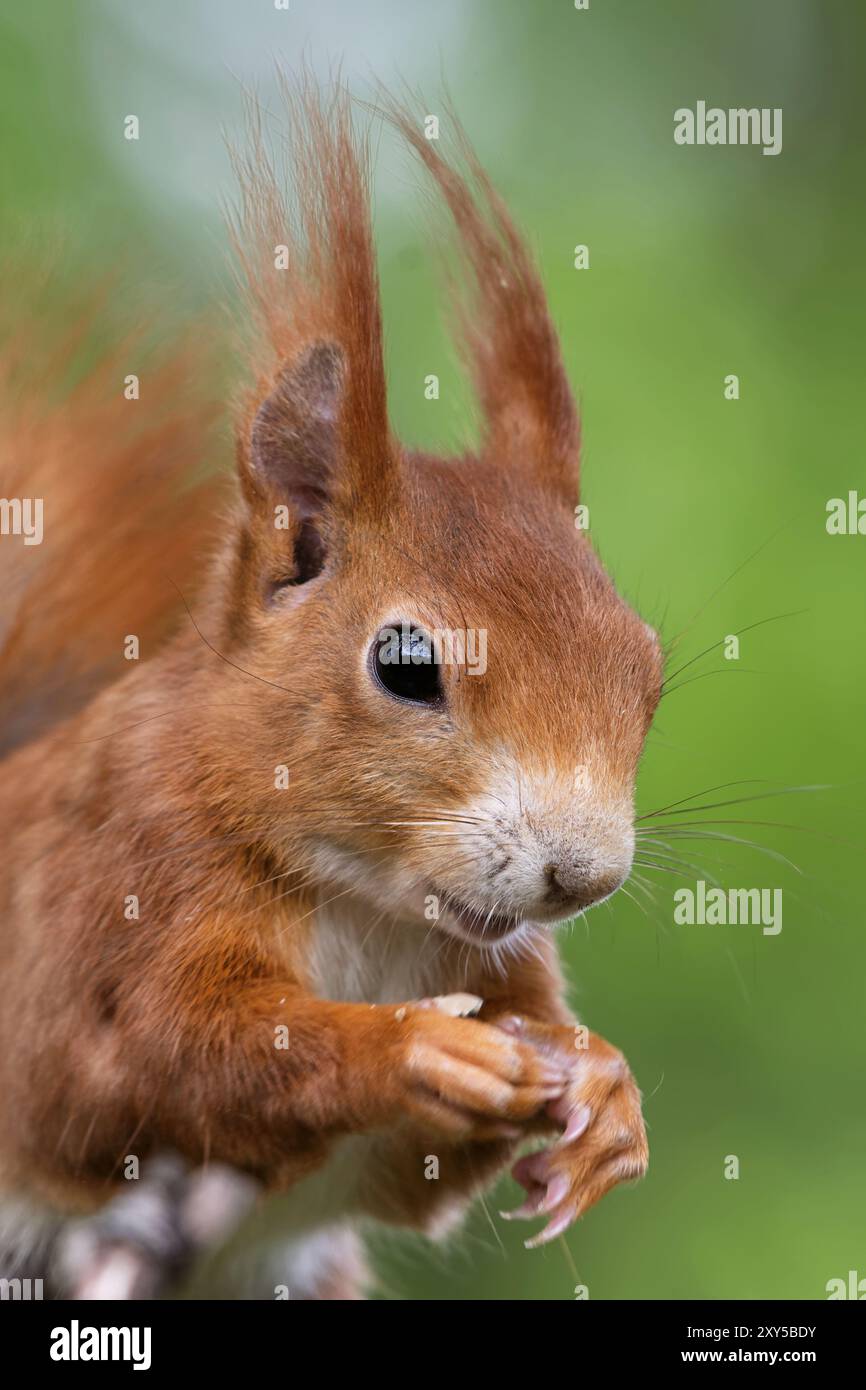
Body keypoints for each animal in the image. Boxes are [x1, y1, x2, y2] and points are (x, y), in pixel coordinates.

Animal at [0, 79, 663, 1300]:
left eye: (644, 668)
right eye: (404, 665)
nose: (582, 875)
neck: (368, 905)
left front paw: (603, 1091)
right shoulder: (107, 905)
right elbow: (156, 1059)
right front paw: (412, 1046)